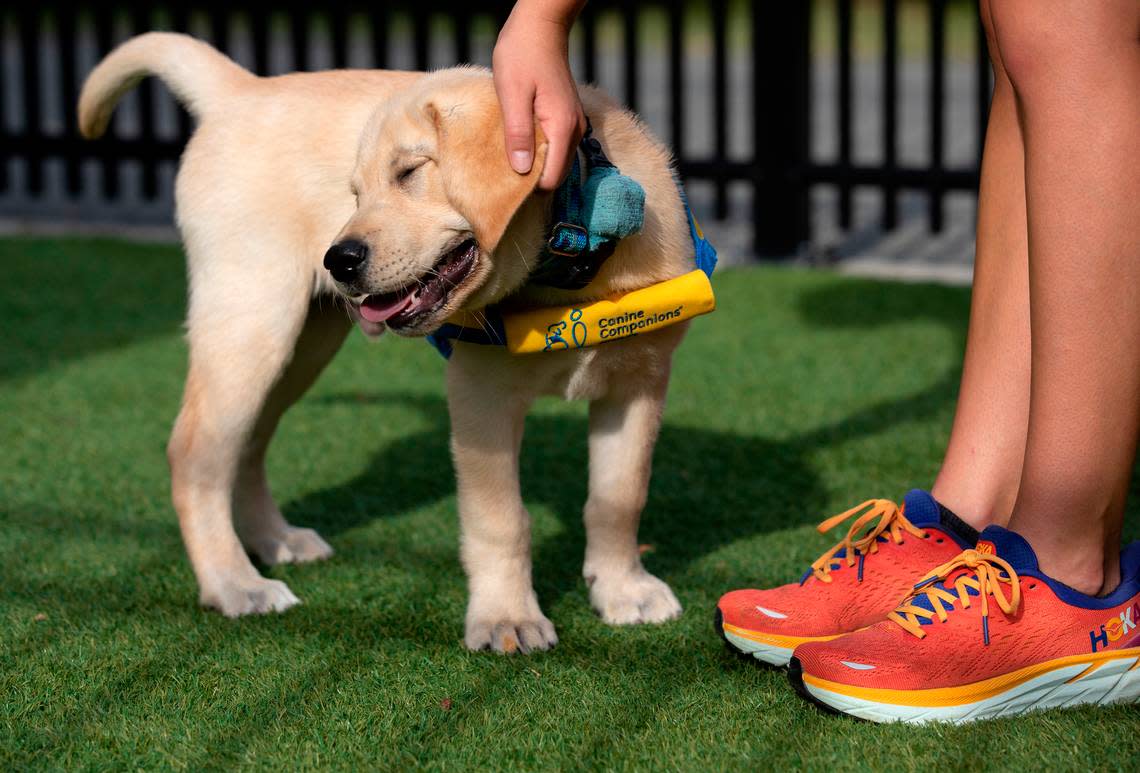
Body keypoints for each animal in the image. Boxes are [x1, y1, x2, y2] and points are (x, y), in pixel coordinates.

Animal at [80, 31, 693, 652]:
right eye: (354, 193)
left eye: (408, 172)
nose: (340, 260)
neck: (572, 259)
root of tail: (239, 91)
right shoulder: (481, 391)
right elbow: (500, 520)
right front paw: (507, 619)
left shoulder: (639, 384)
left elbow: (619, 498)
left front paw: (624, 590)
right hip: (250, 319)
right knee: (196, 454)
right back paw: (234, 582)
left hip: (303, 344)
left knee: (246, 444)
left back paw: (276, 540)